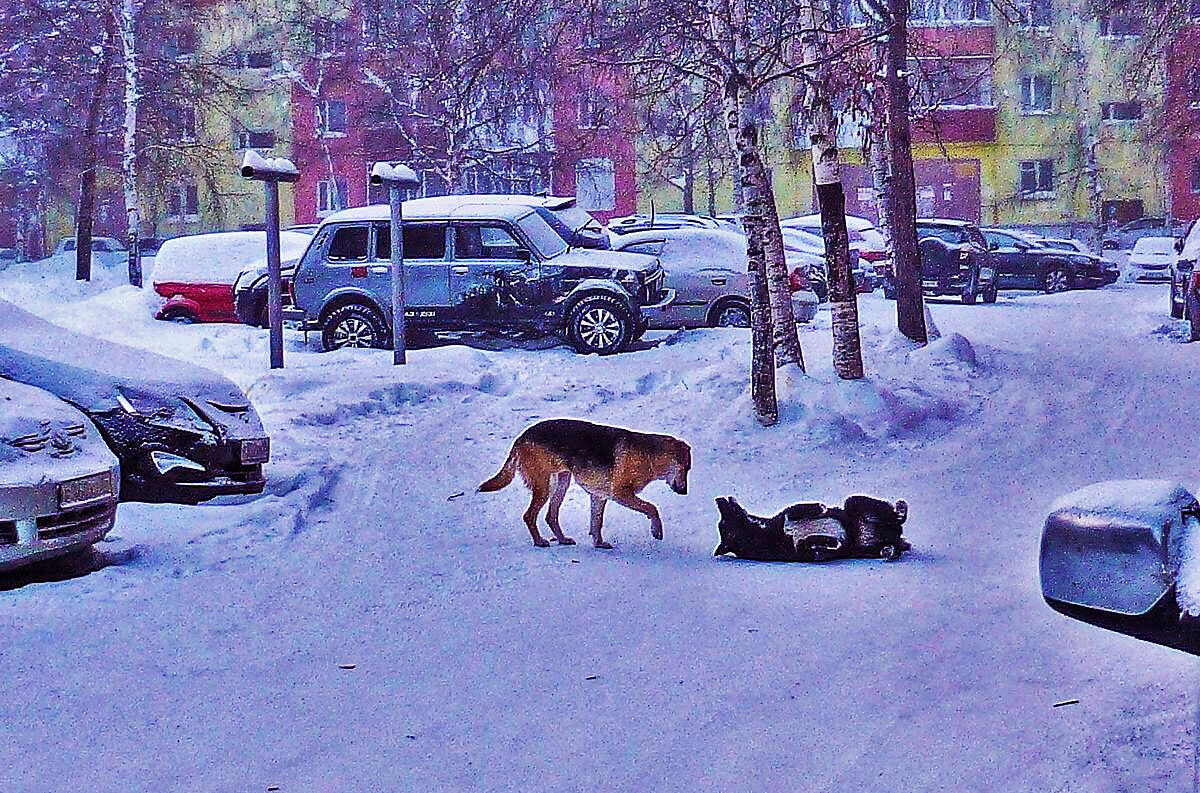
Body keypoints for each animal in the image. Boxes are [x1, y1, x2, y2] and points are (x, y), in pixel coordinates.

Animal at [472, 417, 691, 547]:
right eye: (685, 468)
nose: (684, 492)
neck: (650, 456)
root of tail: (521, 437)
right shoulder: (621, 494)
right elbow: (652, 508)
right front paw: (657, 530)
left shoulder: (599, 497)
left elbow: (596, 522)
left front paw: (598, 543)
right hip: (544, 487)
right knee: (529, 516)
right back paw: (540, 541)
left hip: (561, 483)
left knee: (550, 517)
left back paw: (562, 539)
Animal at [710, 494, 907, 563]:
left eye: (723, 519)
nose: (719, 500)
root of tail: (896, 534)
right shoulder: (805, 552)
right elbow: (810, 544)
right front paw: (829, 543)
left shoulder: (786, 515)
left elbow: (798, 509)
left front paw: (820, 507)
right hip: (866, 548)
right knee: (893, 544)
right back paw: (889, 550)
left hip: (852, 502)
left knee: (896, 517)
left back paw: (901, 508)